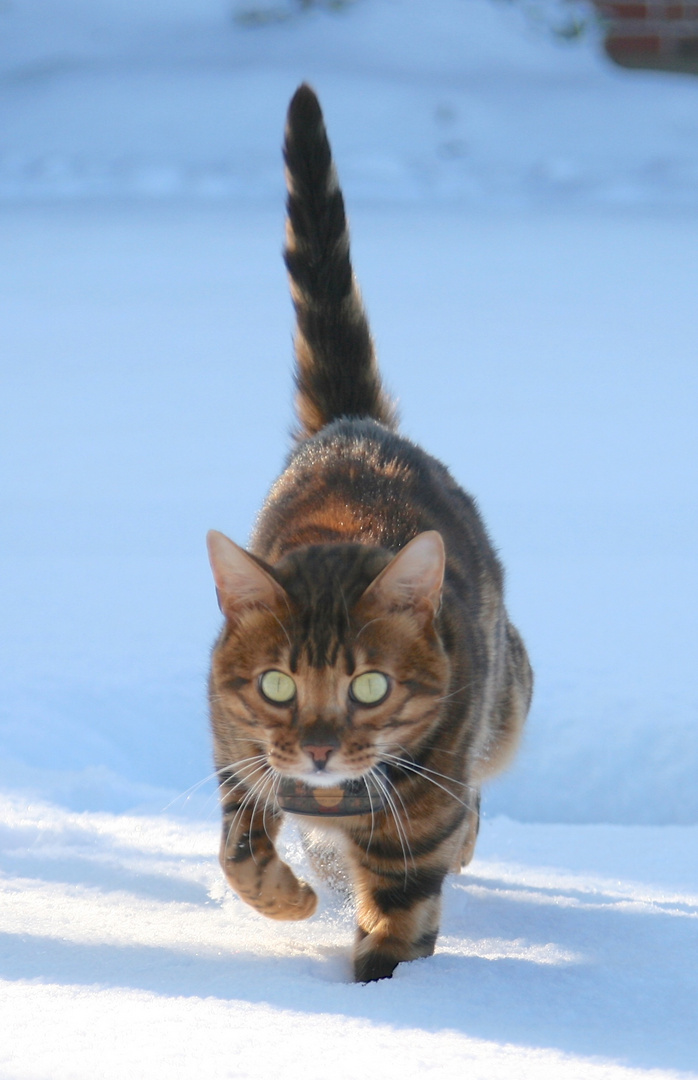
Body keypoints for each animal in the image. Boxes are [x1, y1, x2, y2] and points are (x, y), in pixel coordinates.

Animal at [205, 82, 533, 980]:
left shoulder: (414, 838)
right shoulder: (234, 745)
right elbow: (238, 847)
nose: (319, 749)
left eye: (371, 687)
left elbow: (395, 937)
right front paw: (290, 898)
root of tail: (355, 425)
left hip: (510, 700)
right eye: (277, 685)